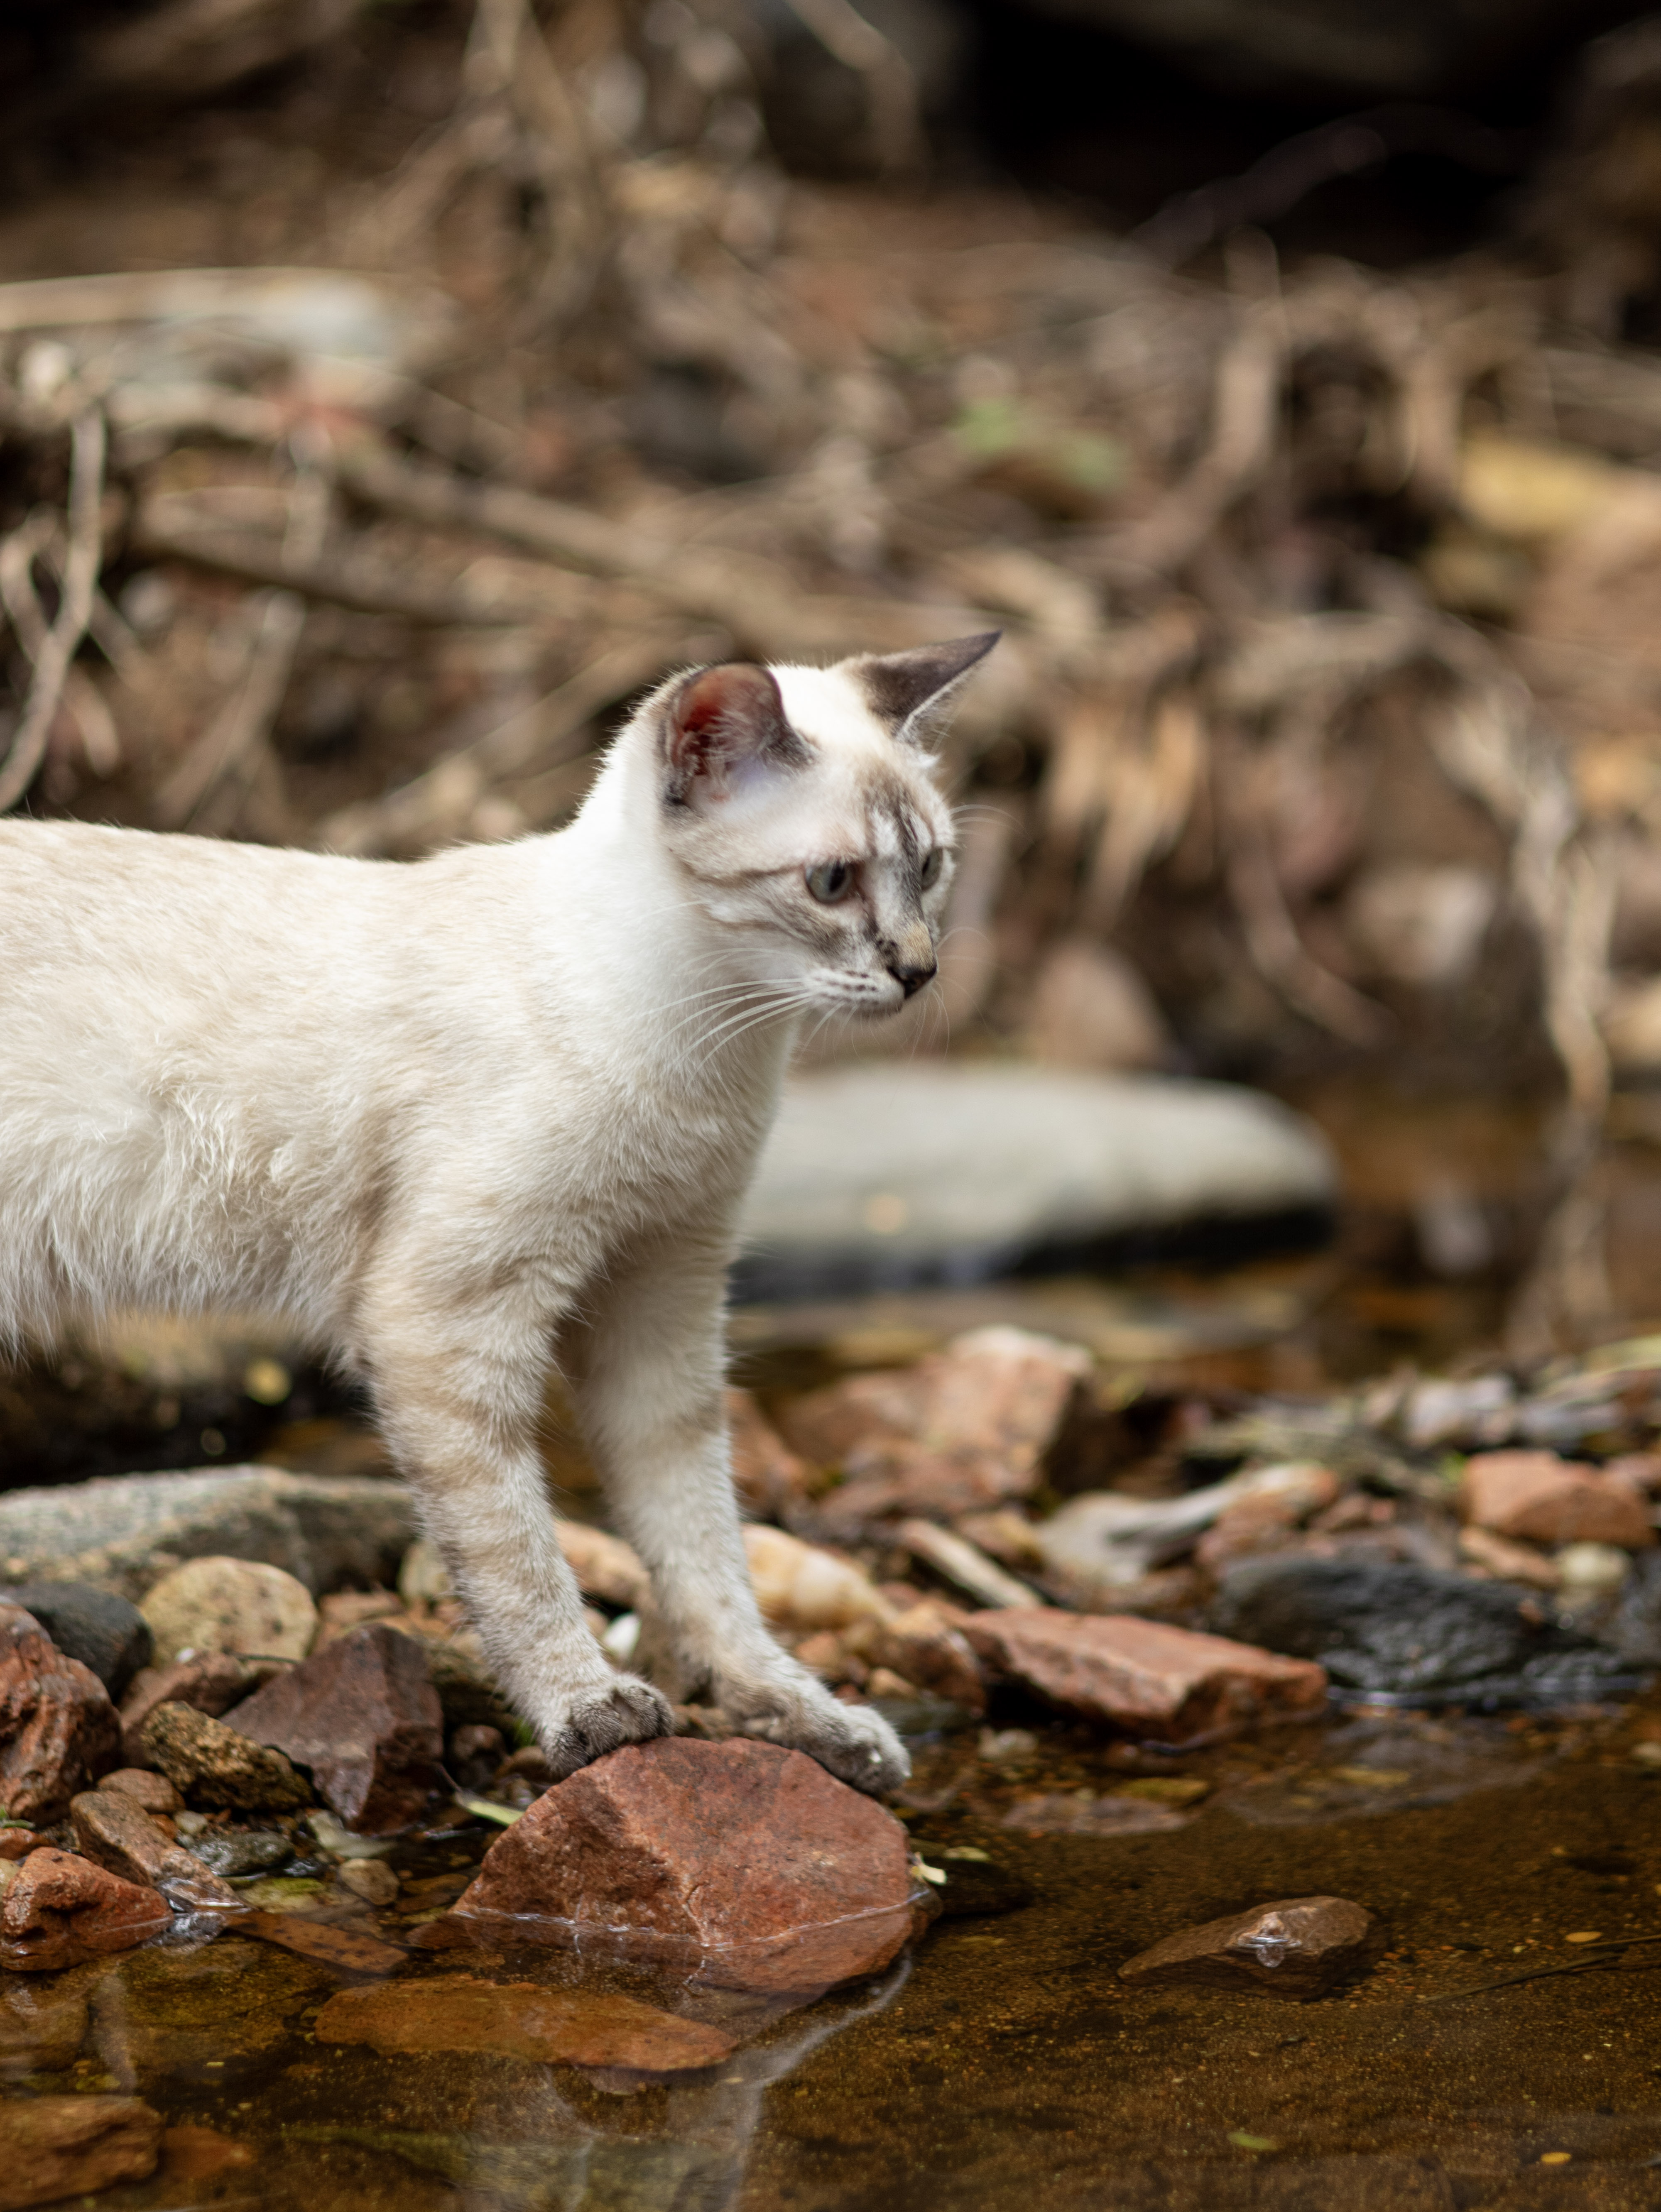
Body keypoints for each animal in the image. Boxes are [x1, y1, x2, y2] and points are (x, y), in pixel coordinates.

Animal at [0, 631, 998, 1794]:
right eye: (831, 882)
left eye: (927, 868)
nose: (919, 970)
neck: (711, 1048)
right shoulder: (448, 1319)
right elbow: (520, 1556)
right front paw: (588, 1713)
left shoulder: (663, 1306)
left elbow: (704, 1551)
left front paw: (799, 1718)